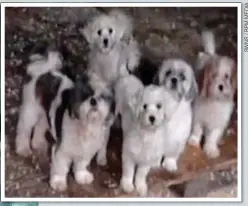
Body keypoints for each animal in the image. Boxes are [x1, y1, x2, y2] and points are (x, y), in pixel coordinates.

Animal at [188, 29, 236, 159]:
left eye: (226, 76)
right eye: (213, 75)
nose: (221, 86)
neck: (215, 99)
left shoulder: (218, 121)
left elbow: (213, 136)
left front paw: (211, 149)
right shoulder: (198, 114)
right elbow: (197, 129)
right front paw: (194, 141)